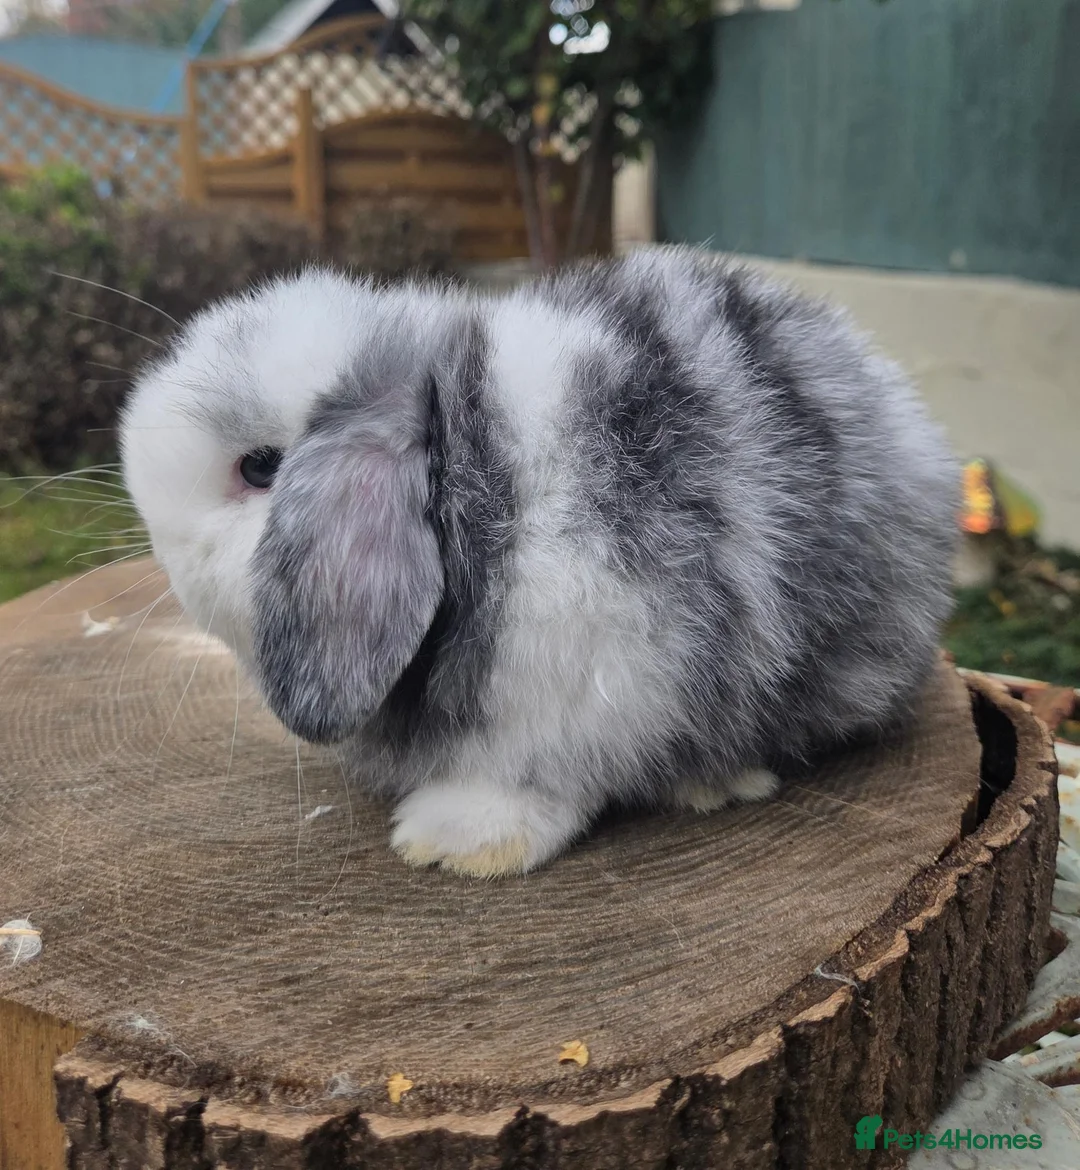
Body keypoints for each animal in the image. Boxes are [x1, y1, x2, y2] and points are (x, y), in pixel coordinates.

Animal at [120, 246, 959, 878]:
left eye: (260, 468)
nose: (162, 547)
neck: (463, 471)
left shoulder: (590, 675)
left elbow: (530, 780)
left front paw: (452, 844)